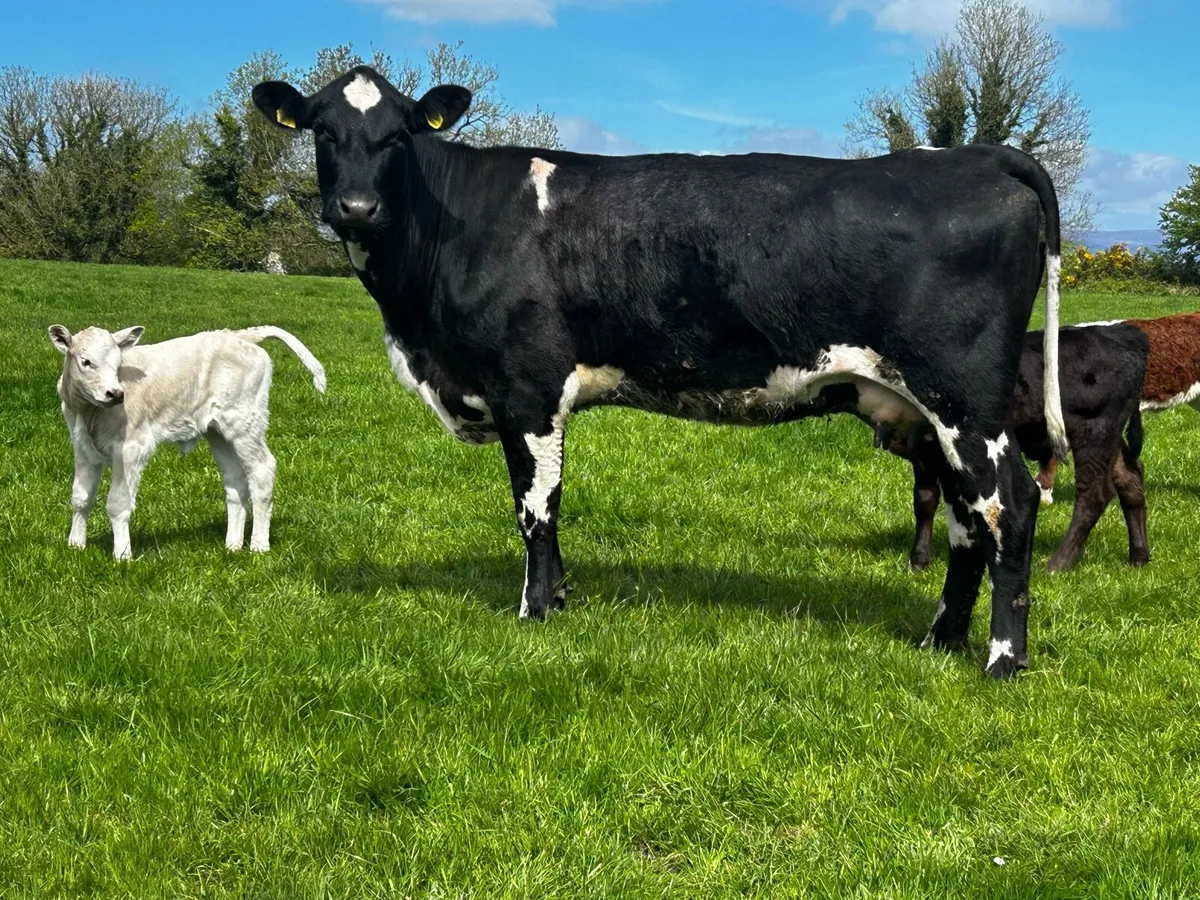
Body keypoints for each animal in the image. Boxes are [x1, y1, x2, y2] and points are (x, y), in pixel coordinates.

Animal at [49, 325, 326, 559]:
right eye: (86, 362)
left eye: (118, 363)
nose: (115, 394)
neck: (88, 412)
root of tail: (239, 335)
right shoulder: (82, 446)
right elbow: (80, 497)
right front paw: (75, 545)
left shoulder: (131, 447)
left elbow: (117, 503)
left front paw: (123, 555)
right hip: (218, 432)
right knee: (236, 481)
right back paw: (232, 545)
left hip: (245, 422)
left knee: (262, 470)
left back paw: (258, 546)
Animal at [251, 66, 1066, 678]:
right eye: (324, 131)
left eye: (398, 135)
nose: (356, 207)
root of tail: (973, 155)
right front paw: (561, 600)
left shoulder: (529, 388)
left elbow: (536, 508)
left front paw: (536, 611)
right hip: (931, 412)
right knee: (967, 521)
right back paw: (939, 640)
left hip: (965, 397)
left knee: (1011, 506)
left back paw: (1001, 659)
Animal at [885, 323, 1150, 573]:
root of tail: (1123, 334)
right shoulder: (922, 452)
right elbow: (924, 500)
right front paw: (918, 561)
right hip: (1110, 436)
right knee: (1130, 477)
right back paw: (1139, 557)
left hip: (1094, 430)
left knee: (1094, 494)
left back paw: (1058, 563)